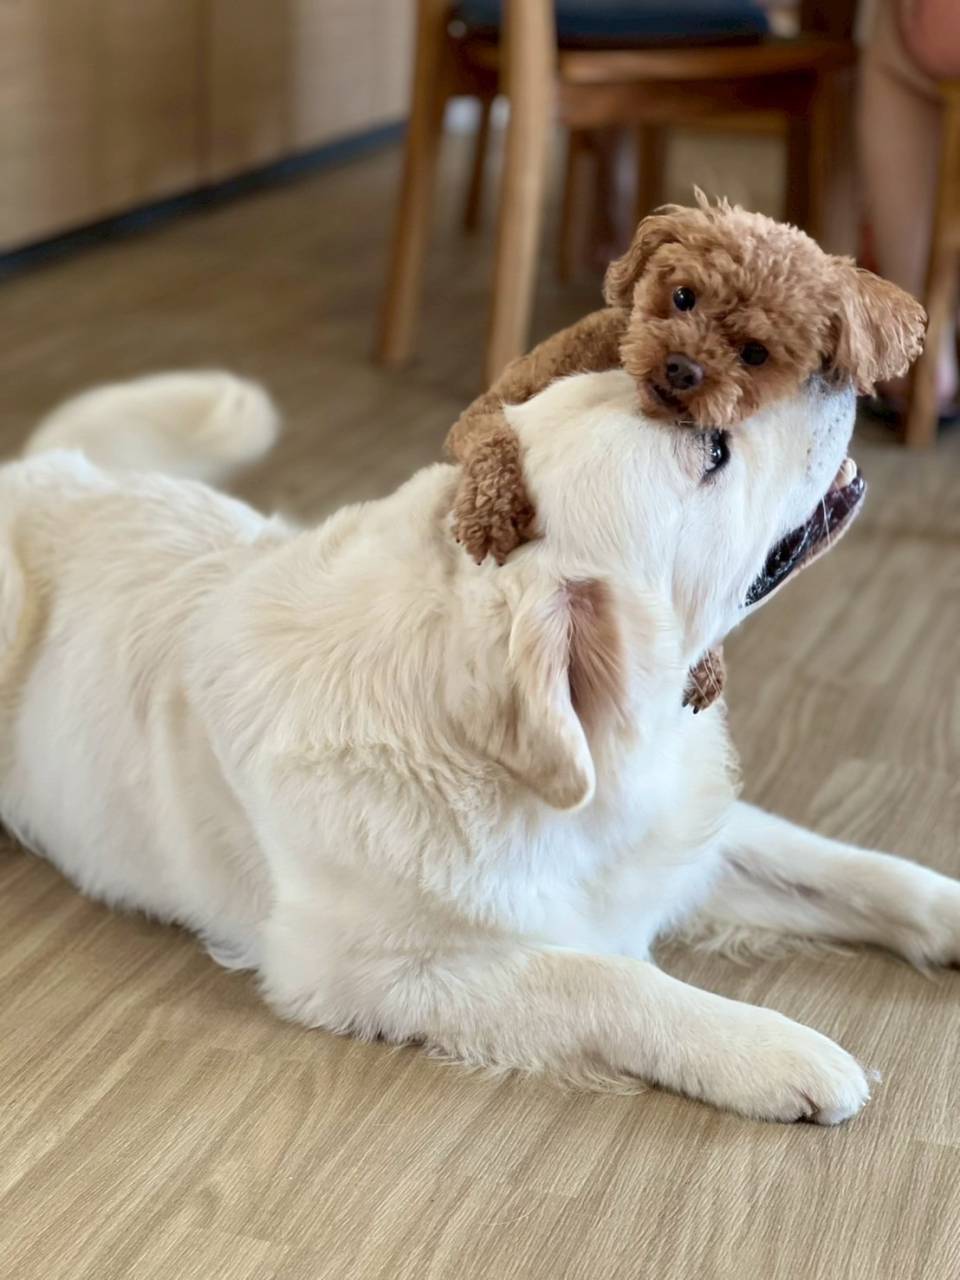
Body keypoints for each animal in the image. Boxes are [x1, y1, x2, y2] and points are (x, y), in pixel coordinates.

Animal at [1, 367, 957, 1125]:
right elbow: (610, 982)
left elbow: (841, 863)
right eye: (713, 448)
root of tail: (29, 470)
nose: (843, 373)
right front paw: (772, 1050)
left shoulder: (671, 838)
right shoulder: (375, 974)